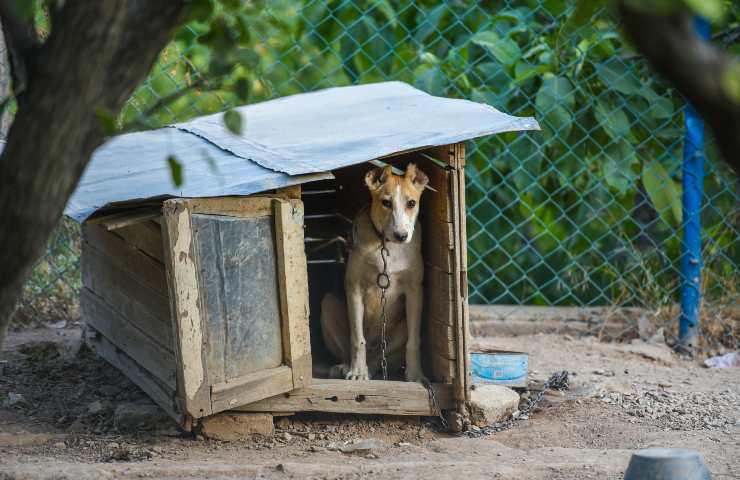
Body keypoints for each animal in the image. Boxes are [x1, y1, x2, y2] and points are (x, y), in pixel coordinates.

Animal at [318, 164, 428, 382]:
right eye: (386, 202)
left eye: (411, 203)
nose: (401, 236)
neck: (386, 246)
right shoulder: (354, 288)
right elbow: (357, 339)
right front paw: (357, 372)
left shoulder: (415, 292)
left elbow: (414, 342)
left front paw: (415, 375)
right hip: (328, 304)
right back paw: (347, 367)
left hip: (400, 327)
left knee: (379, 360)